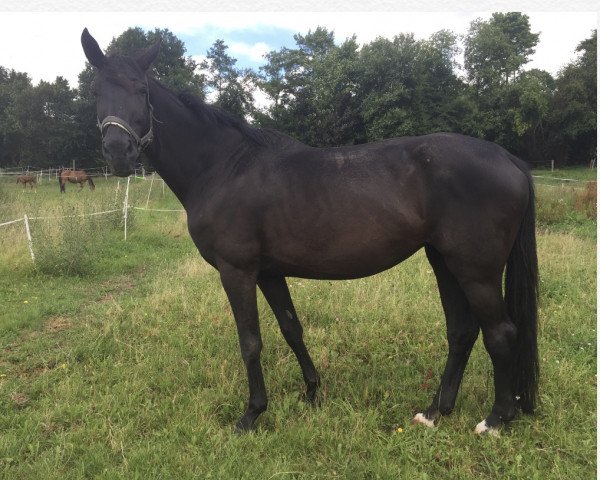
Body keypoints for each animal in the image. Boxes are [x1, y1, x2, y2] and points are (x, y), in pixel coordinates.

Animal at [81, 29, 540, 436]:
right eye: (96, 90)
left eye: (141, 89)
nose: (118, 153)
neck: (224, 167)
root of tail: (509, 159)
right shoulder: (269, 272)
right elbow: (291, 328)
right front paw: (311, 392)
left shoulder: (237, 271)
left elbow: (250, 341)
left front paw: (251, 415)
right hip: (443, 261)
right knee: (462, 331)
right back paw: (433, 412)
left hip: (475, 270)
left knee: (501, 333)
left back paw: (495, 420)